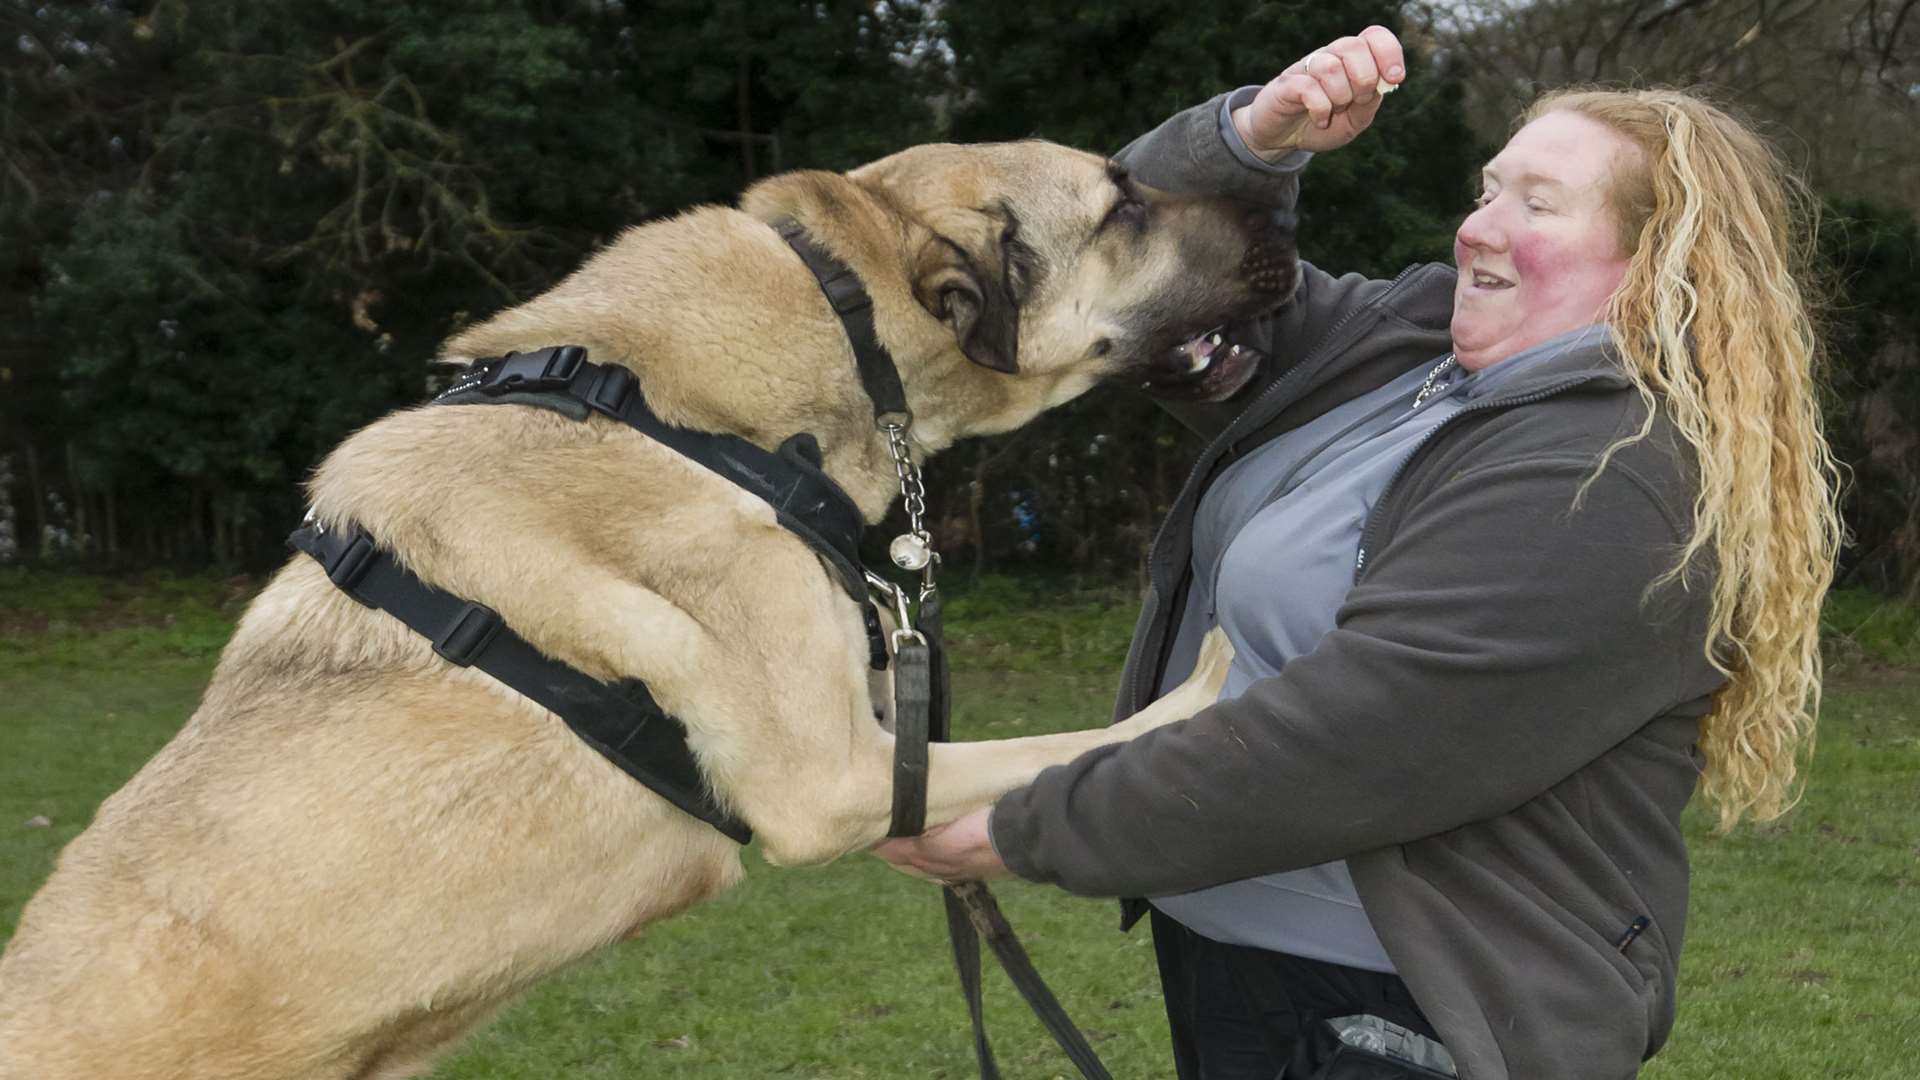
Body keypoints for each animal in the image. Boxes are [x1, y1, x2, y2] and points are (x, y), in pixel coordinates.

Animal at [0, 138, 1297, 1068]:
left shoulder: (872, 734)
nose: (1289, 219)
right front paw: (1216, 683)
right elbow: (1078, 738)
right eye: (1122, 207)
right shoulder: (830, 782)